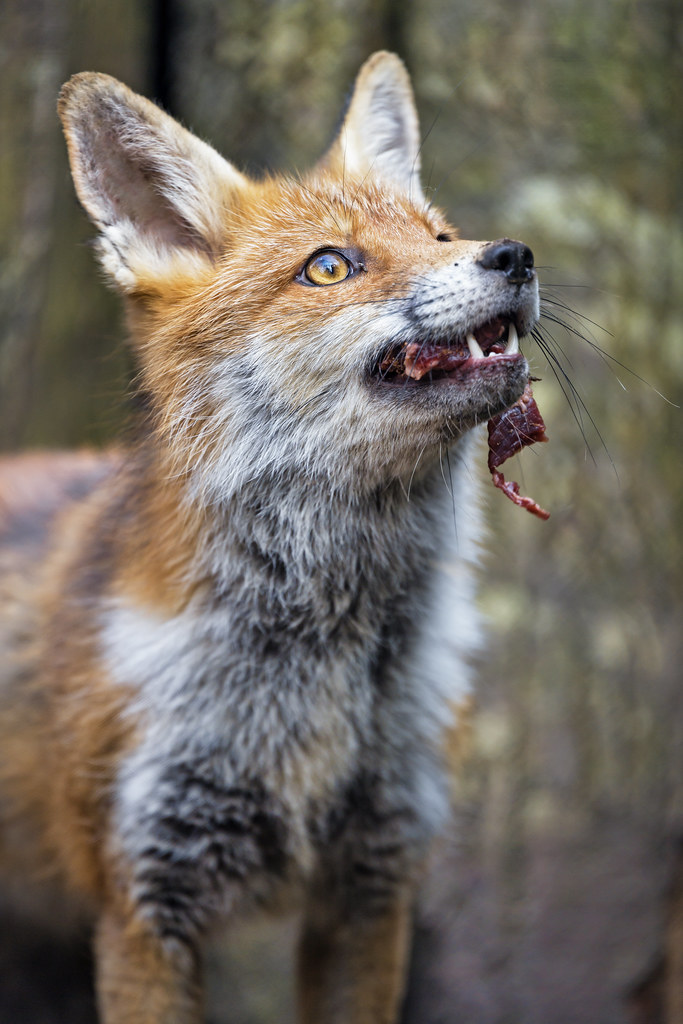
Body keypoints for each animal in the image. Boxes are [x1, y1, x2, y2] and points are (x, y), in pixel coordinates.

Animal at [0, 51, 540, 1024]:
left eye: (439, 233)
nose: (512, 255)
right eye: (328, 266)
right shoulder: (143, 902)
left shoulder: (372, 884)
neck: (317, 658)